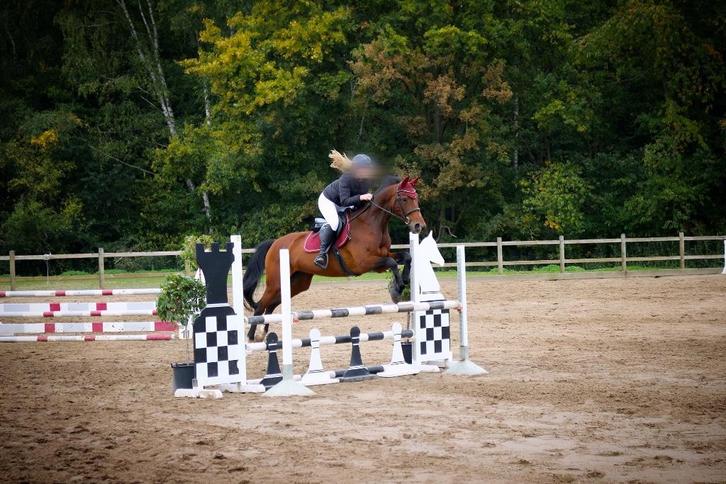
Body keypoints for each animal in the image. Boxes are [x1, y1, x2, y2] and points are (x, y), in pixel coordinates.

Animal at [243, 176, 427, 342]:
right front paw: (397, 289)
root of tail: (275, 243)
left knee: (272, 304)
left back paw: (263, 333)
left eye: (416, 198)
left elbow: (406, 257)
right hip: (276, 282)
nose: (419, 226)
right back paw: (251, 336)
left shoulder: (380, 260)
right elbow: (393, 263)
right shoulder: (364, 263)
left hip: (297, 282)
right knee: (261, 304)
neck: (372, 224)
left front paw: (403, 281)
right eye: (404, 199)